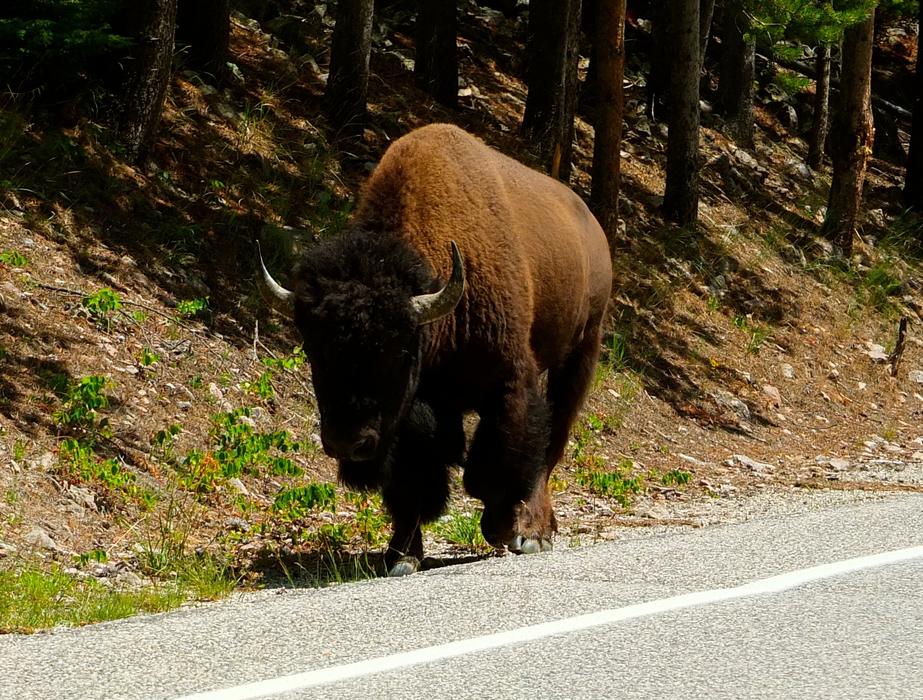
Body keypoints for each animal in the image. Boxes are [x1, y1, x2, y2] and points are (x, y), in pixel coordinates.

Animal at [261, 123, 612, 575]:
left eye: (395, 352)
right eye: (313, 351)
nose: (347, 443)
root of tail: (592, 226)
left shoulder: (510, 382)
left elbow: (497, 463)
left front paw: (500, 528)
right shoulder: (412, 414)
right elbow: (414, 479)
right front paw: (401, 556)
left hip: (583, 349)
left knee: (552, 444)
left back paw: (534, 533)